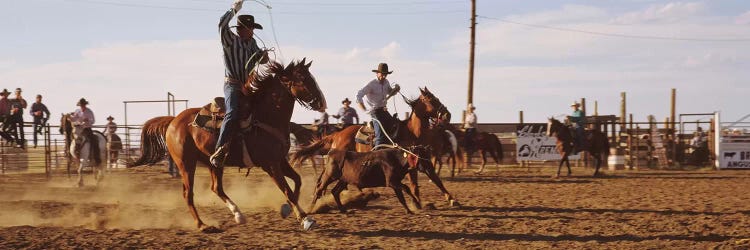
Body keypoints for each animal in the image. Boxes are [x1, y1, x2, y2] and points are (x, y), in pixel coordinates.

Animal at [131, 59, 328, 231]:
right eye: (302, 78)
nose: (322, 103)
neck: (266, 117)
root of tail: (173, 121)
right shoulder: (270, 165)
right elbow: (287, 190)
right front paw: (306, 219)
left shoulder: (280, 160)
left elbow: (297, 181)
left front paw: (289, 211)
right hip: (185, 163)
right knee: (188, 194)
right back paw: (203, 225)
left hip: (213, 163)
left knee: (216, 188)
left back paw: (238, 215)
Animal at [292, 87, 458, 206]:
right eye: (432, 99)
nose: (447, 115)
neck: (411, 132)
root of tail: (337, 134)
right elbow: (414, 183)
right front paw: (417, 201)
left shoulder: (424, 161)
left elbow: (435, 179)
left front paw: (451, 199)